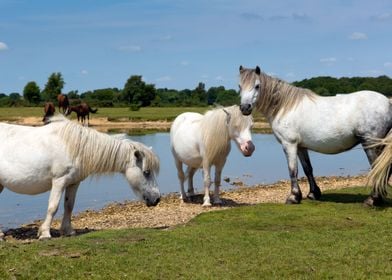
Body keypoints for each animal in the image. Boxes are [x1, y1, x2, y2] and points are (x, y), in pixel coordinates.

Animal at [0, 115, 161, 240]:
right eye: (146, 172)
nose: (157, 199)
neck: (75, 147)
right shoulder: (59, 181)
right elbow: (53, 207)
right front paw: (45, 233)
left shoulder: (73, 183)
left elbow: (69, 206)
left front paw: (68, 231)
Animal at [237, 65, 392, 206]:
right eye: (239, 86)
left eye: (257, 86)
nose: (245, 108)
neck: (284, 107)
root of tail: (387, 102)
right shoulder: (301, 147)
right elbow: (308, 169)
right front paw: (313, 194)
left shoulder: (289, 144)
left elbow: (292, 170)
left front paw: (293, 197)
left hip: (370, 143)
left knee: (377, 168)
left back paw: (372, 199)